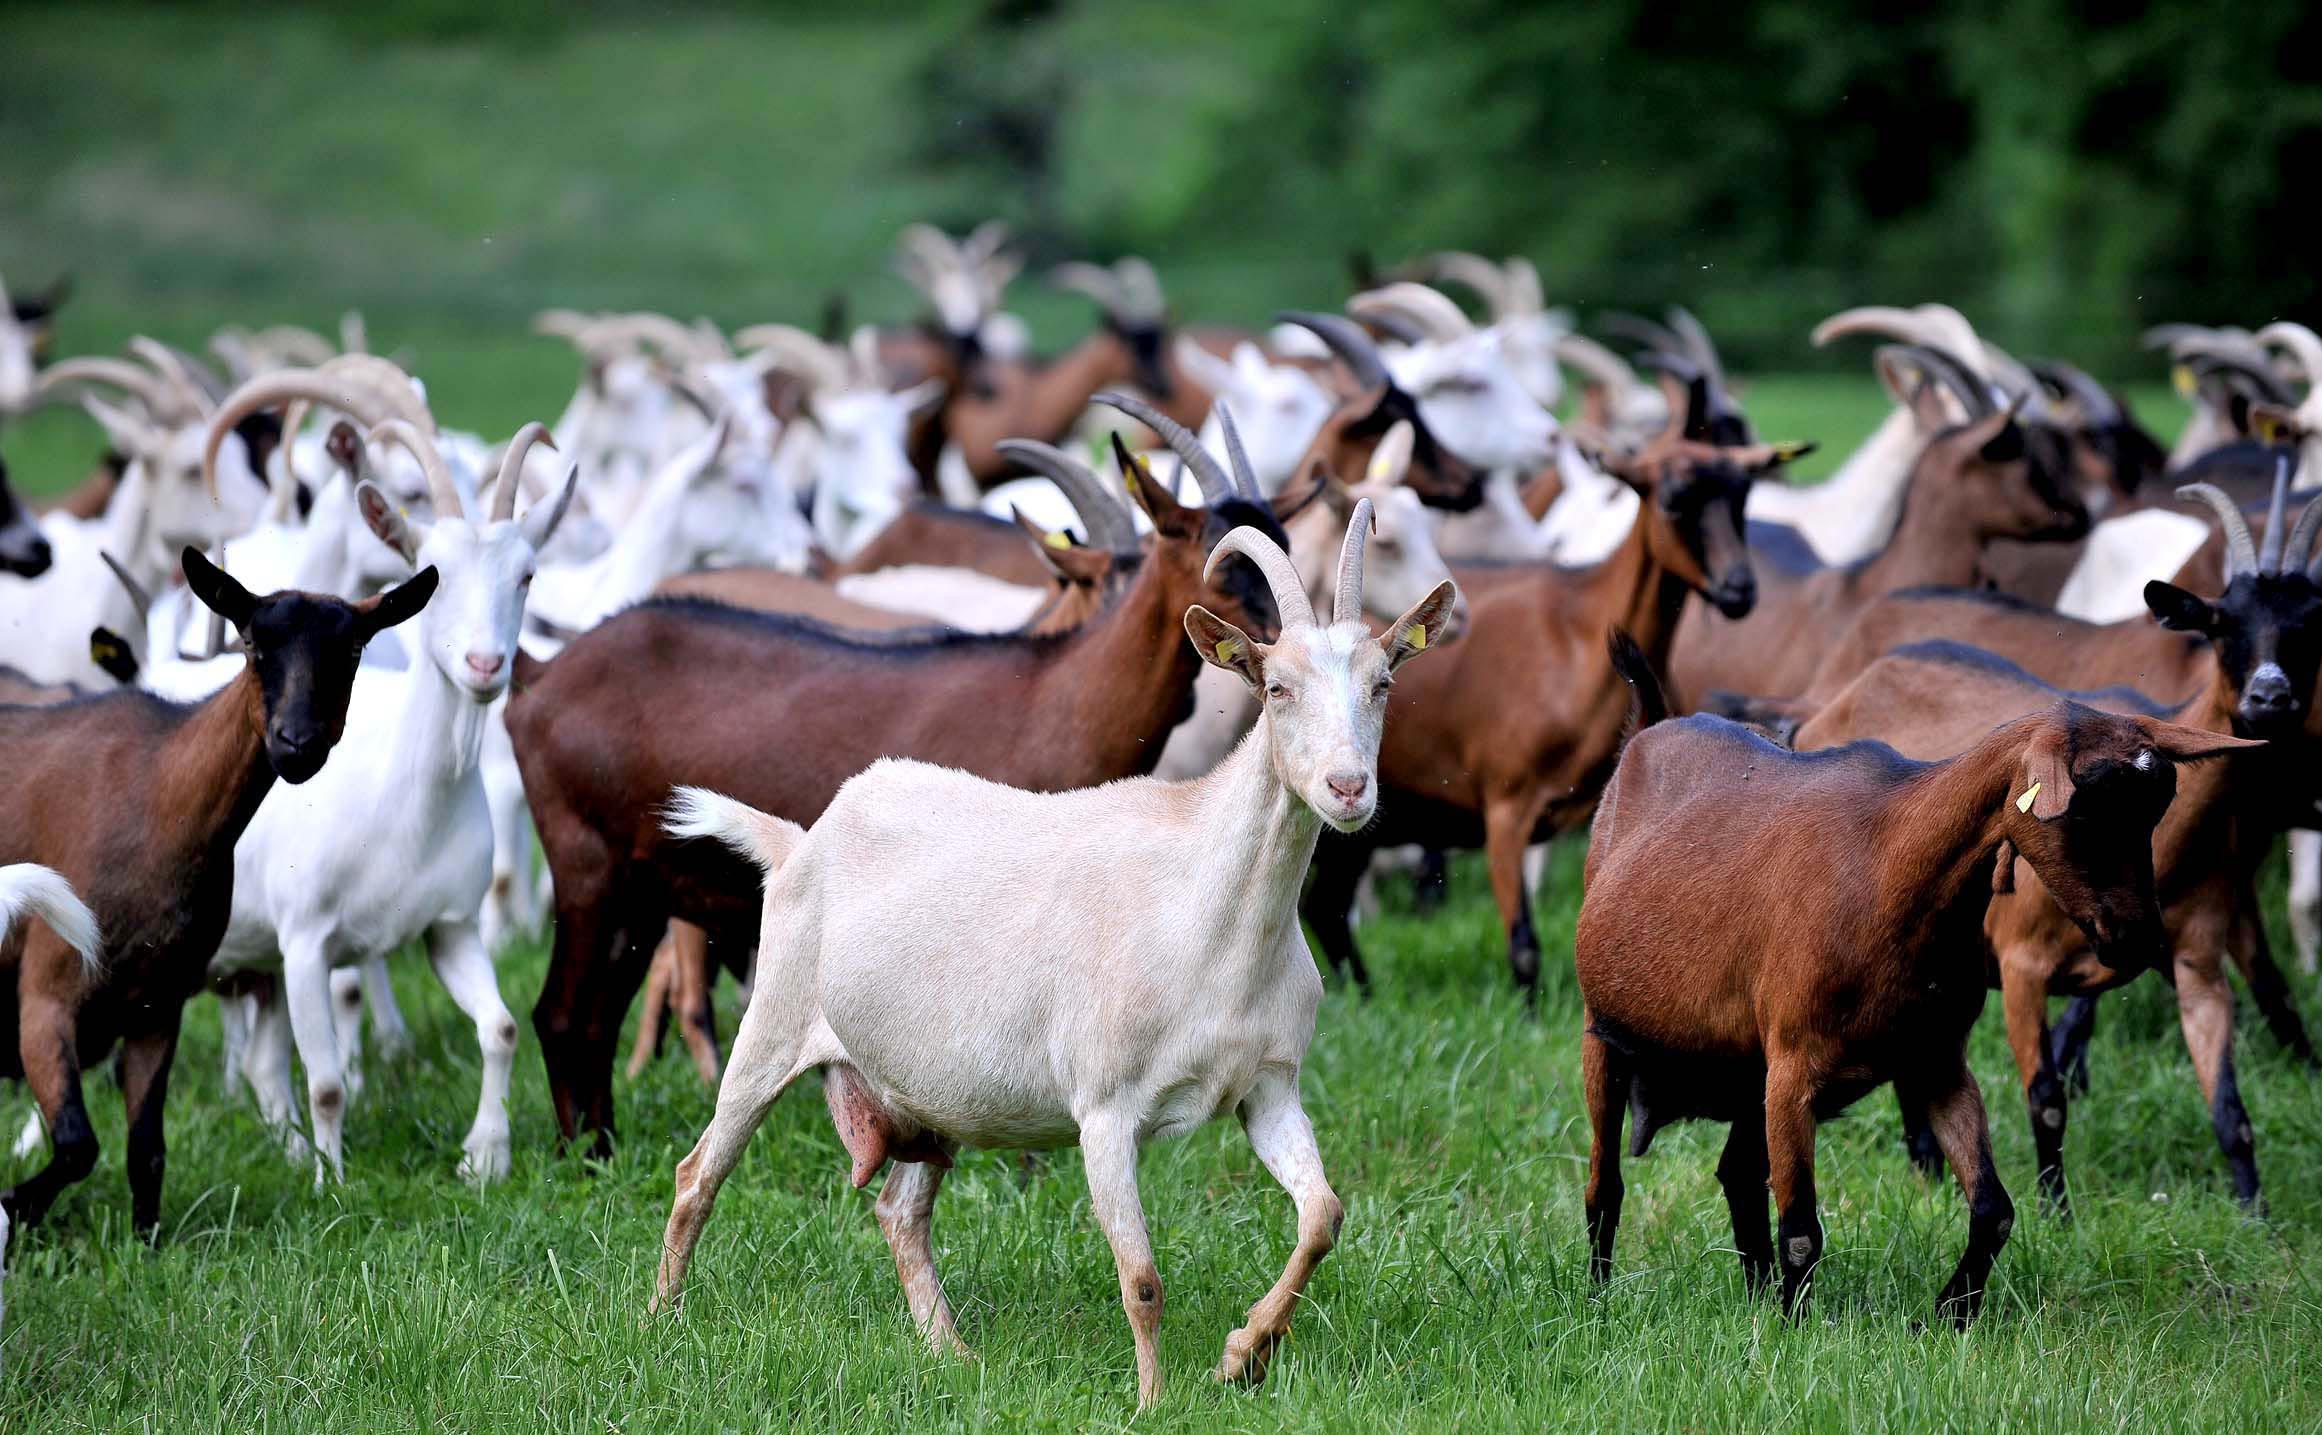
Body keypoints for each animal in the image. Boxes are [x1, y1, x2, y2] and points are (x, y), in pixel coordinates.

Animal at [0, 547, 434, 1226]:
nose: (297, 743)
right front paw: (13, 1208)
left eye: (355, 649)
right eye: (252, 642)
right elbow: (76, 1143)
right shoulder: (47, 995)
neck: (153, 794)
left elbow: (146, 1152)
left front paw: (146, 1240)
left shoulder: (158, 1006)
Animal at [510, 415, 1300, 1151]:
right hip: (586, 868)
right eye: (1220, 558)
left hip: (638, 889)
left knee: (596, 1014)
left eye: (1282, 538)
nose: (1279, 638)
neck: (1052, 696)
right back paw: (581, 1156)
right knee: (562, 1012)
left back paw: (601, 1145)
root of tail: (542, 674)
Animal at [645, 496, 1458, 1402]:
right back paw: (658, 1324)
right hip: (775, 1021)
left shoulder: (1268, 1086)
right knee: (698, 1174)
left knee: (900, 1209)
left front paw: (1245, 1351)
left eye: (1383, 682)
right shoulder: (1106, 1107)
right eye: (1276, 687)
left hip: (932, 1091)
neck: (1211, 917)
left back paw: (952, 1353)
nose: (1349, 788)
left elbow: (1324, 1216)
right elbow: (1142, 1278)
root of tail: (797, 841)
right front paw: (1152, 1402)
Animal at [1578, 691, 2229, 1318]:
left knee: (1736, 1175)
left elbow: (1994, 1210)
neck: (1887, 866)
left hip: (1748, 1069)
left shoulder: (1937, 1061)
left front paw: (1949, 1315)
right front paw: (1793, 1334)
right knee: (1605, 1186)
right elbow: (1801, 1232)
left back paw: (1756, 1298)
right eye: (2086, 808)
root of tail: (1652, 722)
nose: (2139, 938)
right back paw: (1599, 1300)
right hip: (1603, 1037)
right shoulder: (1794, 1067)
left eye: (2157, 808)